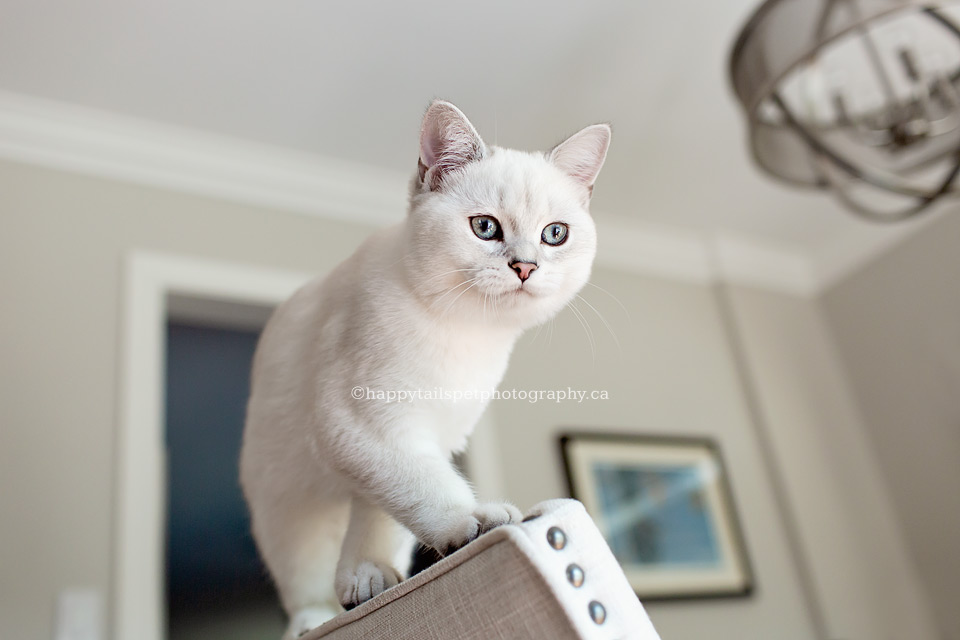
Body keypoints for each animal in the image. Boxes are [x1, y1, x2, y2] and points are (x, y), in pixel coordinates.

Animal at [238, 99, 608, 636]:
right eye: (485, 227)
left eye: (554, 235)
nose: (526, 266)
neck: (466, 334)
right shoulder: (365, 424)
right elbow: (425, 486)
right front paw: (474, 522)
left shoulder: (424, 435)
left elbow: (387, 506)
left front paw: (368, 576)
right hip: (284, 496)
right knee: (304, 575)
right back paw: (317, 616)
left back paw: (365, 580)